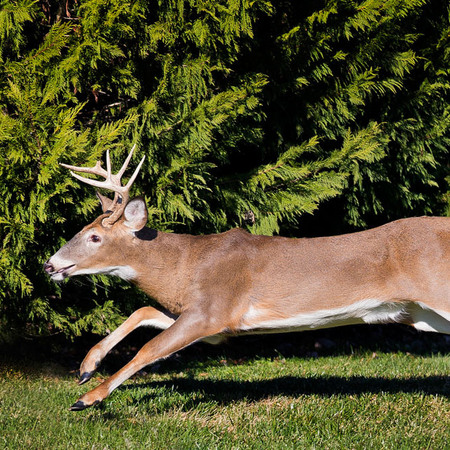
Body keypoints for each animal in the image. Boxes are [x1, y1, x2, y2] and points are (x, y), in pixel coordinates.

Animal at [46, 147, 450, 412]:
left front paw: (87, 398)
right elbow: (142, 311)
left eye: (94, 237)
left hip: (438, 292)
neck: (186, 266)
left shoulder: (214, 309)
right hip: (422, 315)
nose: (50, 265)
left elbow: (150, 348)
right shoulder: (213, 321)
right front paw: (86, 368)